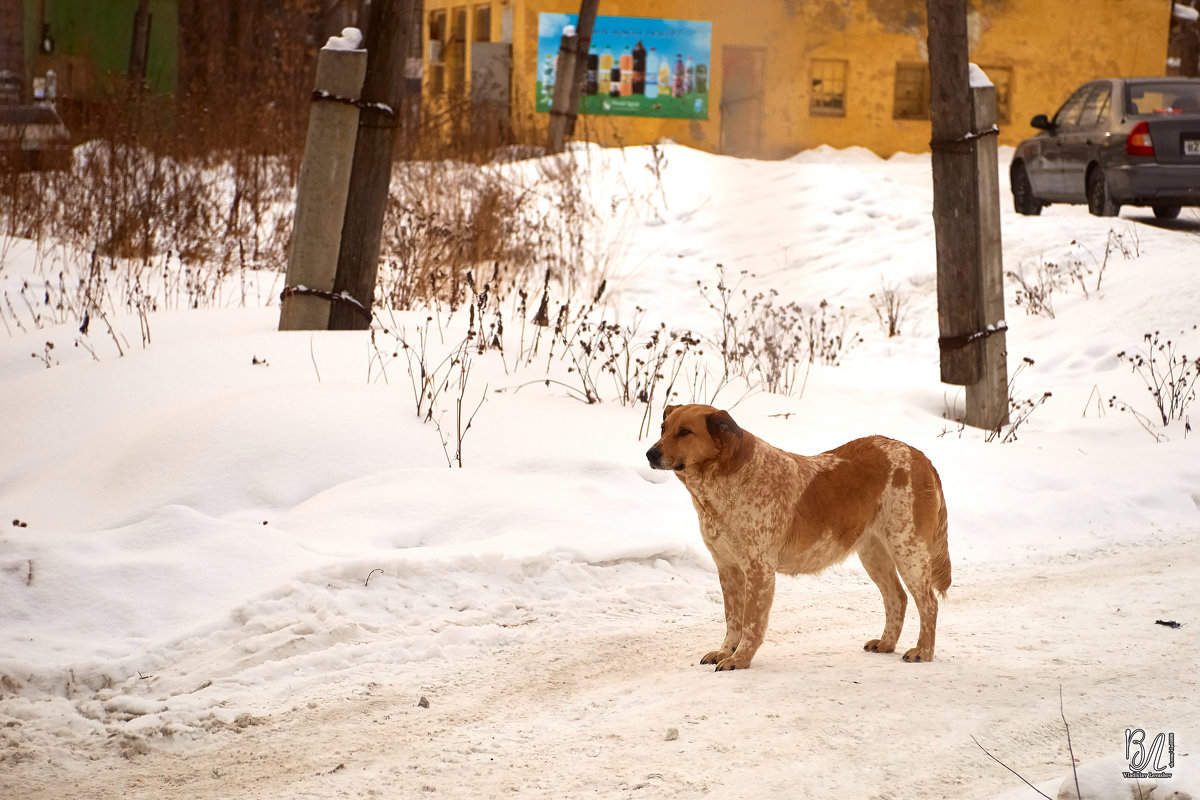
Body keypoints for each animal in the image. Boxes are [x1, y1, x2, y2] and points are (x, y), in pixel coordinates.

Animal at [648, 402, 945, 671]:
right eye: (663, 428)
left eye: (685, 432)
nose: (650, 453)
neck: (720, 485)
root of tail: (920, 456)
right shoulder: (727, 567)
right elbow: (732, 618)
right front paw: (725, 651)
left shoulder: (759, 569)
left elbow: (751, 622)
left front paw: (740, 659)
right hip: (874, 554)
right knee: (897, 597)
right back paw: (886, 644)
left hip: (908, 550)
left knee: (928, 603)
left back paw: (923, 651)